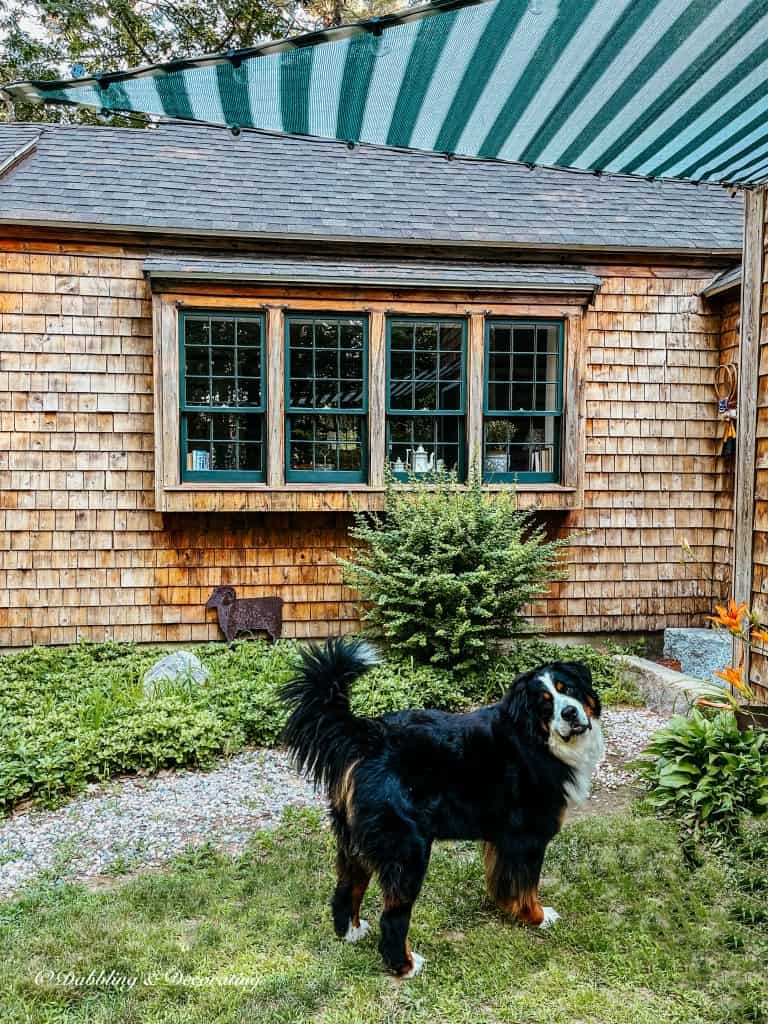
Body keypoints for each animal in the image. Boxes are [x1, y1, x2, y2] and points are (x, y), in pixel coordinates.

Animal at [280, 634, 606, 978]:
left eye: (568, 689)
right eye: (545, 702)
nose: (569, 713)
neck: (535, 739)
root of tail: (368, 737)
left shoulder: (502, 838)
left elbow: (503, 882)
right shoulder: (526, 837)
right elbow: (525, 887)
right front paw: (538, 917)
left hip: (355, 844)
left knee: (346, 890)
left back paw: (351, 933)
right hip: (407, 849)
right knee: (392, 918)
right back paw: (405, 965)